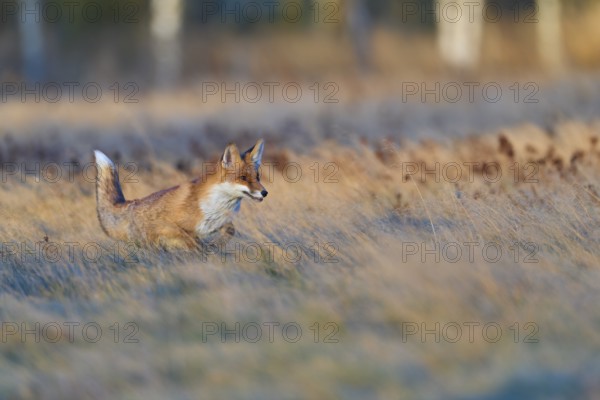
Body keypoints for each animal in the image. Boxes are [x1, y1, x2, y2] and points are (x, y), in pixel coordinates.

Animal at [94, 139, 268, 248]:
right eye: (243, 178)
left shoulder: (217, 224)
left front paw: (215, 246)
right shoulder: (174, 227)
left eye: (257, 177)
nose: (265, 192)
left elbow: (231, 230)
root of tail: (130, 203)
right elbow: (192, 242)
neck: (217, 204)